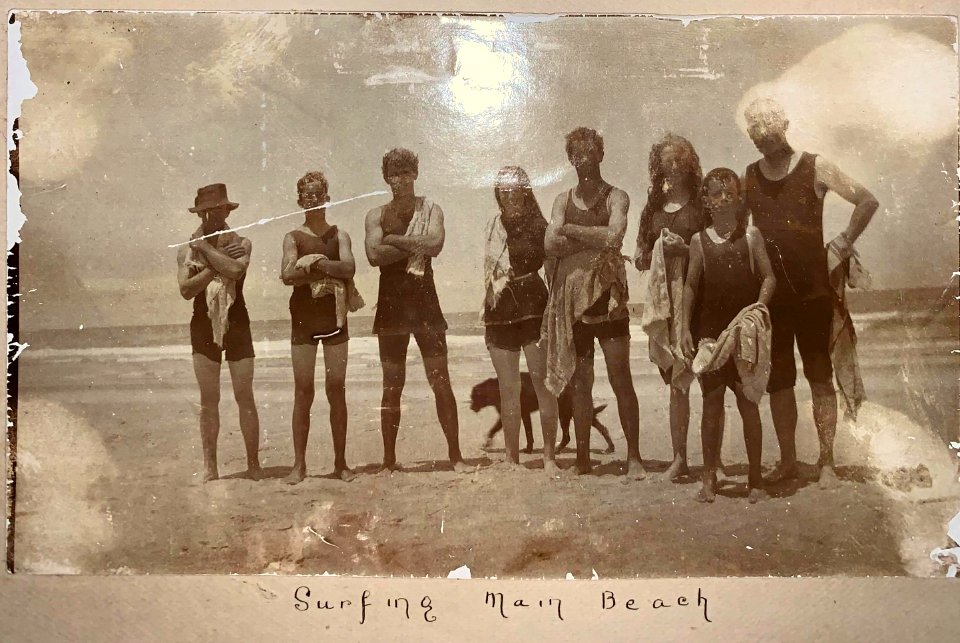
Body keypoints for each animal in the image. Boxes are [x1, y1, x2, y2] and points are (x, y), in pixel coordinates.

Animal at [470, 370, 616, 456]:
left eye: (474, 397)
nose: (470, 407)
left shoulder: (512, 414)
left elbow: (494, 430)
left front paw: (487, 444)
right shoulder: (524, 414)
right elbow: (528, 432)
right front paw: (529, 448)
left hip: (564, 415)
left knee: (567, 436)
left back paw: (557, 450)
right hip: (575, 414)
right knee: (602, 428)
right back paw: (610, 447)